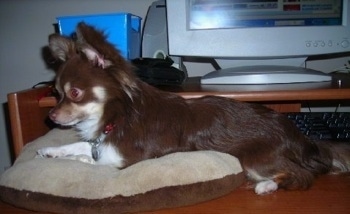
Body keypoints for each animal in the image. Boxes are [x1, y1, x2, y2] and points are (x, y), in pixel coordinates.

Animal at [37, 22, 348, 195]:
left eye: (75, 93)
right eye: (55, 93)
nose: (50, 115)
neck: (118, 116)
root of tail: (302, 138)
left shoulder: (127, 160)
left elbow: (89, 159)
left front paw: (72, 158)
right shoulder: (101, 143)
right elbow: (82, 146)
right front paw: (51, 150)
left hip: (255, 159)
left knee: (302, 176)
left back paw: (266, 185)